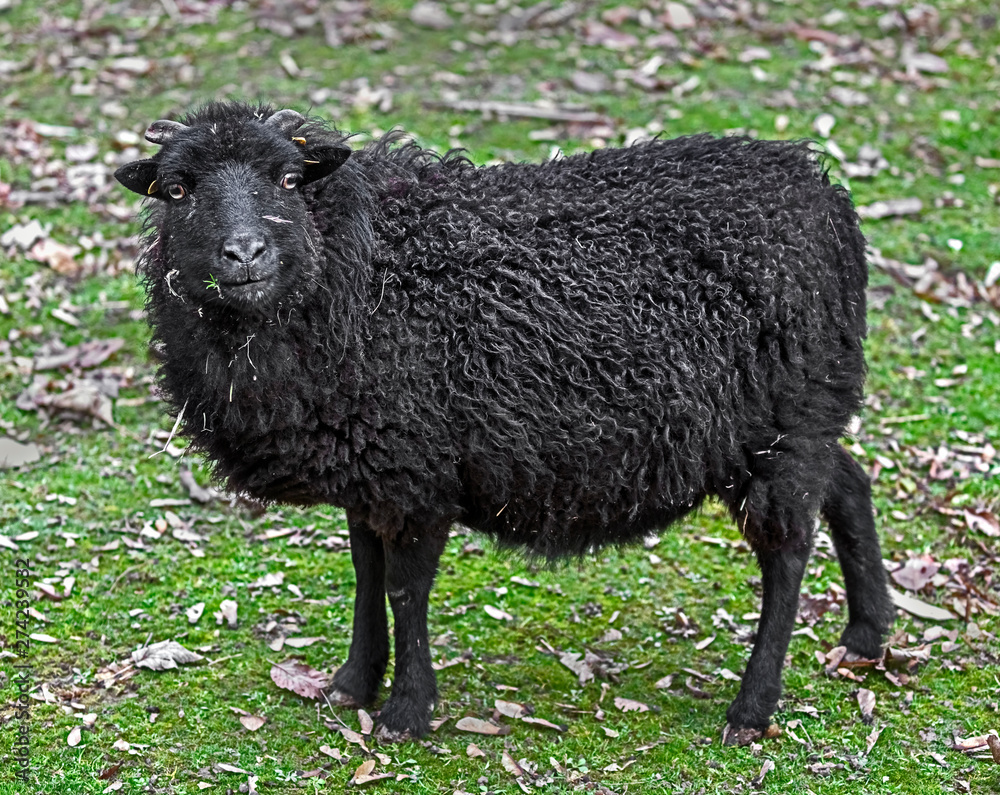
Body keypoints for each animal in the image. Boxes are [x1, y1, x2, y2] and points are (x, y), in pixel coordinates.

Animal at [115, 101, 895, 745]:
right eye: (178, 189)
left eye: (285, 177)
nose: (244, 253)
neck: (357, 274)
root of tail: (822, 193)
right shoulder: (370, 467)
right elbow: (365, 574)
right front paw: (351, 684)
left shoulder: (419, 473)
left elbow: (404, 589)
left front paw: (405, 713)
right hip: (795, 417)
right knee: (849, 483)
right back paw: (866, 634)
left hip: (782, 424)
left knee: (788, 553)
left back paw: (752, 708)